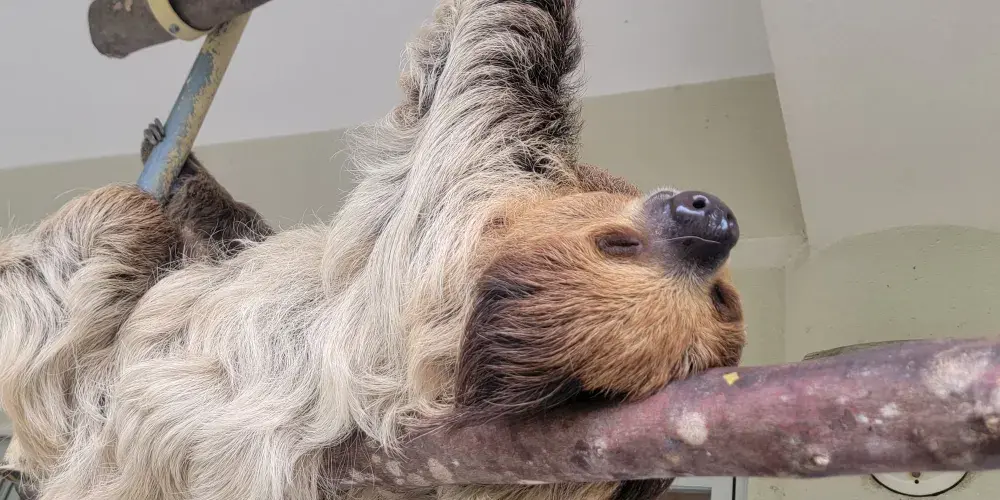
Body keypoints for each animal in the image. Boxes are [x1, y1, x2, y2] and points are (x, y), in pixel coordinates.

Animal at [0, 1, 745, 499]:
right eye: (620, 243)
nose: (712, 219)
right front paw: (196, 180)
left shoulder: (447, 225)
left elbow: (490, 62)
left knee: (109, 227)